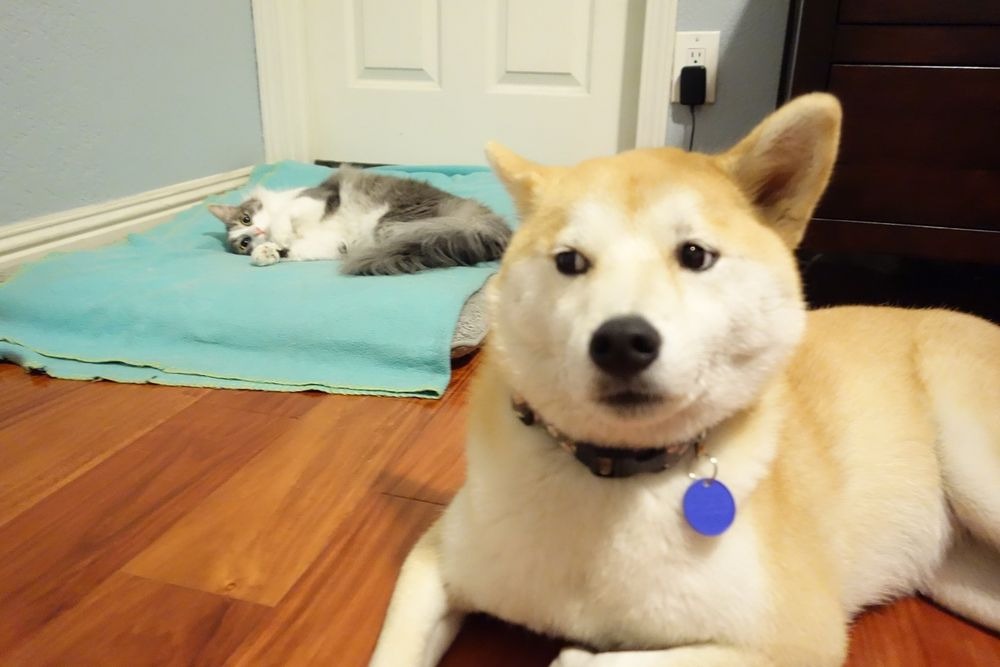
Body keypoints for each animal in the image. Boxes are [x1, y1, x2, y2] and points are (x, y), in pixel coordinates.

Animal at [208, 167, 512, 276]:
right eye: (244, 242)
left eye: (246, 218)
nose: (257, 230)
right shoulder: (333, 243)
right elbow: (294, 251)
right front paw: (267, 252)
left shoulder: (318, 198)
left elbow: (288, 215)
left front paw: (277, 238)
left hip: (390, 223)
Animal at [368, 95, 1000, 667]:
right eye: (570, 261)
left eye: (694, 255)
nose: (622, 341)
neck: (614, 477)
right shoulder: (436, 562)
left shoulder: (797, 638)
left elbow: (586, 660)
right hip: (965, 582)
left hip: (975, 476)